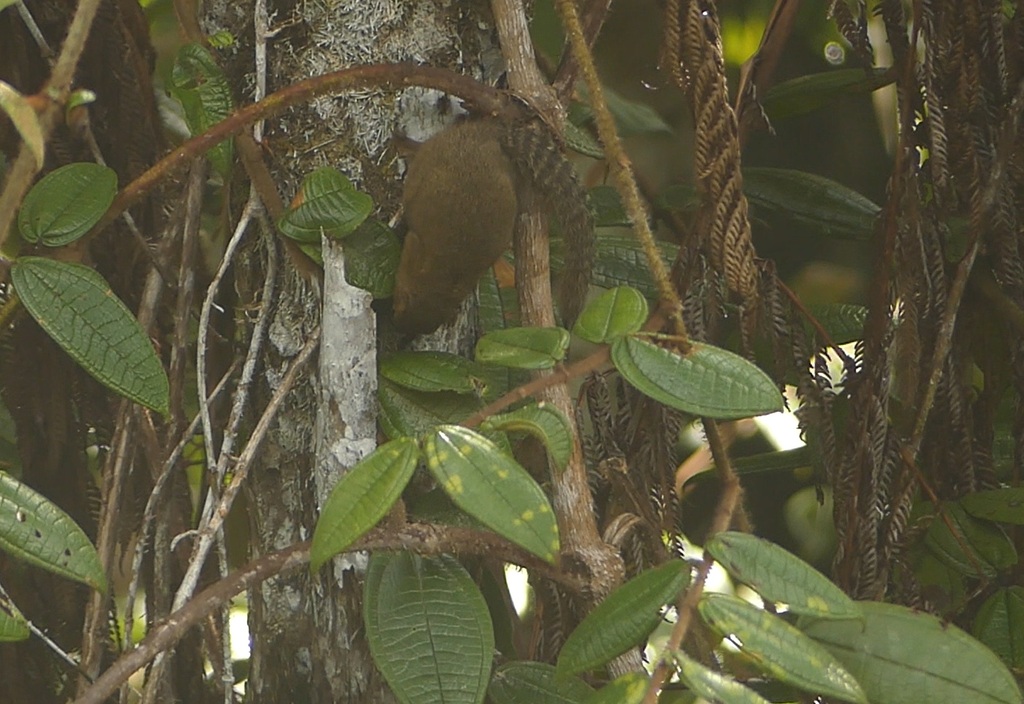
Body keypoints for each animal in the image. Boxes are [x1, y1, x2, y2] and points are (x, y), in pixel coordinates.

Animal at [392, 116, 594, 335]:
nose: (397, 328)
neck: (445, 279)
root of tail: (494, 135)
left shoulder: (414, 246)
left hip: (440, 144)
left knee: (422, 148)